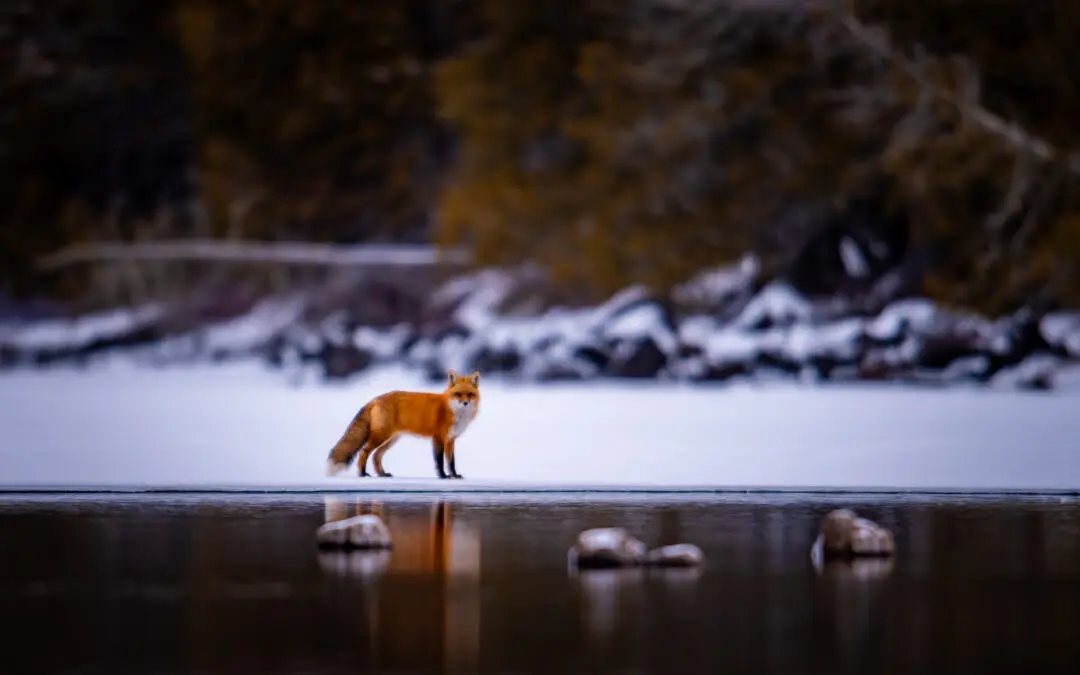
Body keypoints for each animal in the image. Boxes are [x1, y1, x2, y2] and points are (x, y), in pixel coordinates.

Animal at [325, 369, 481, 480]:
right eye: (458, 394)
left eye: (470, 394)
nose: (465, 403)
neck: (452, 410)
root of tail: (375, 399)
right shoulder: (439, 438)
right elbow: (440, 461)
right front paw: (443, 476)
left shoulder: (450, 440)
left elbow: (451, 462)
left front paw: (454, 475)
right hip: (381, 436)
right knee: (364, 452)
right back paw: (362, 474)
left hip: (391, 440)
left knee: (376, 456)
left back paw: (382, 474)